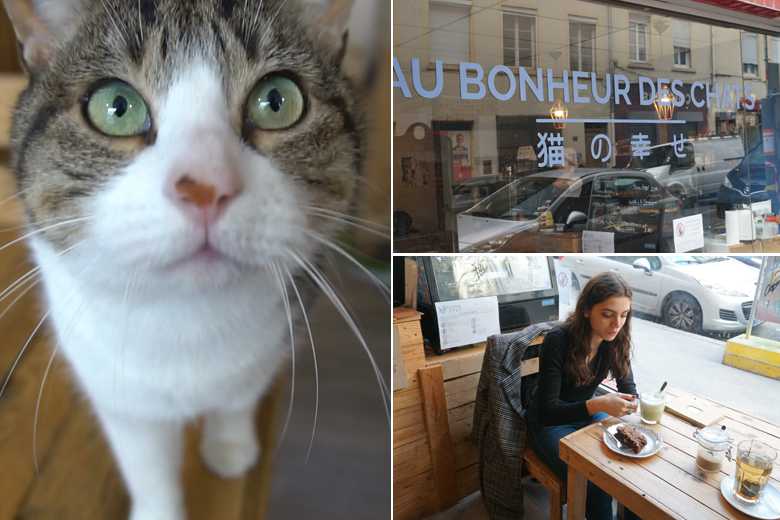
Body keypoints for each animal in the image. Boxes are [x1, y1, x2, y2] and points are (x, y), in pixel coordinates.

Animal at [0, 1, 386, 520]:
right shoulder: (116, 390)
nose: (207, 186)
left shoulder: (276, 333)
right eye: (116, 106)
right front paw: (158, 509)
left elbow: (238, 397)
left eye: (277, 101)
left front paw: (230, 448)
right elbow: (147, 465)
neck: (187, 321)